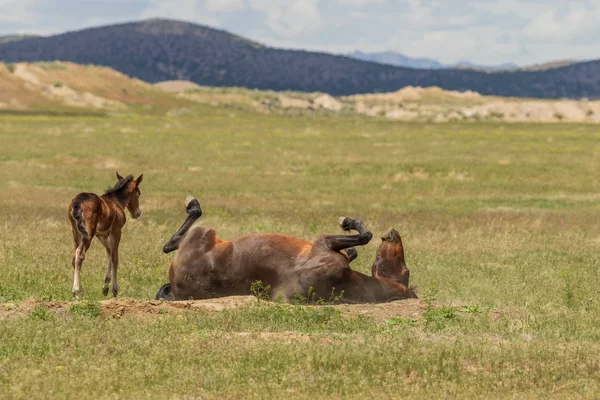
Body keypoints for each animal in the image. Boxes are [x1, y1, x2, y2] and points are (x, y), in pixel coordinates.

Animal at [156, 195, 418, 304]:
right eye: (406, 269)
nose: (393, 233)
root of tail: (177, 291)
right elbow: (356, 246)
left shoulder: (323, 243)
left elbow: (363, 236)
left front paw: (347, 221)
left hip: (204, 232)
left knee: (171, 243)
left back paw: (192, 204)